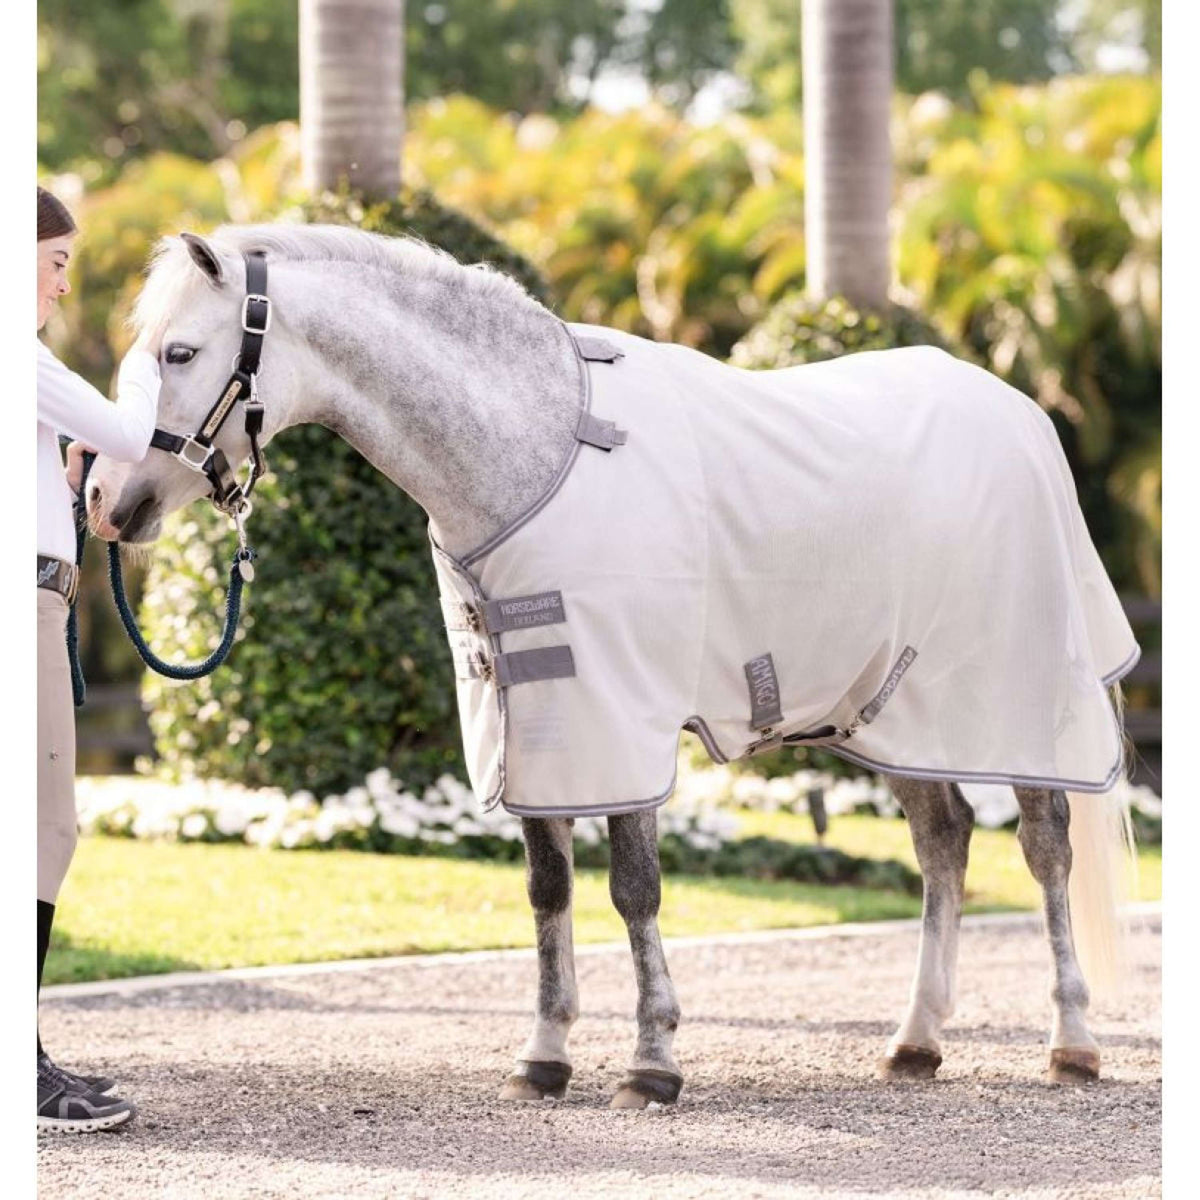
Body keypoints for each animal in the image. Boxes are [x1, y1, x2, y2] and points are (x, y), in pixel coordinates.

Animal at [88, 223, 1136, 1107]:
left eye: (181, 353)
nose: (103, 498)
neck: (537, 447)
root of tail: (1022, 414)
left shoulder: (620, 712)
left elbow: (634, 888)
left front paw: (653, 1062)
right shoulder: (533, 717)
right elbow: (548, 891)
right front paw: (544, 1057)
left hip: (1017, 700)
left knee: (1044, 848)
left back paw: (1072, 1043)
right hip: (890, 713)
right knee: (943, 840)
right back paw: (915, 1042)